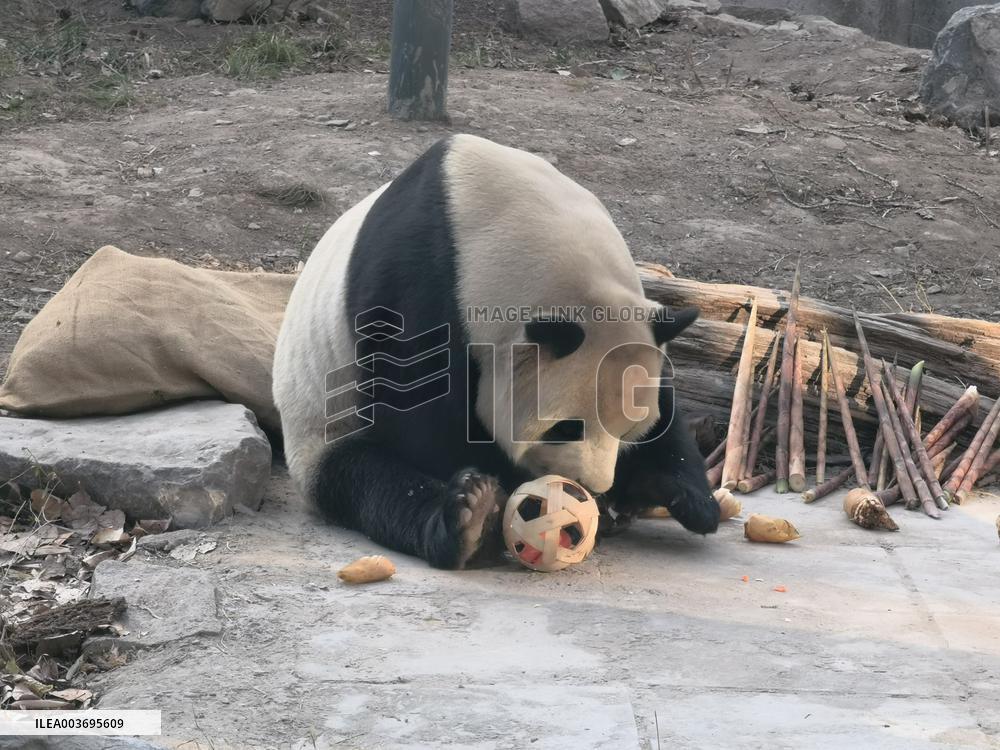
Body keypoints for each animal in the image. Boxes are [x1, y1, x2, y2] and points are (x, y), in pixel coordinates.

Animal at [272, 134, 719, 570]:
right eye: (566, 428)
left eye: (628, 430)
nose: (590, 485)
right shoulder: (416, 291)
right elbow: (422, 419)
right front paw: (520, 496)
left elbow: (663, 400)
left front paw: (686, 494)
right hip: (320, 429)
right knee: (371, 484)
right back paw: (467, 520)